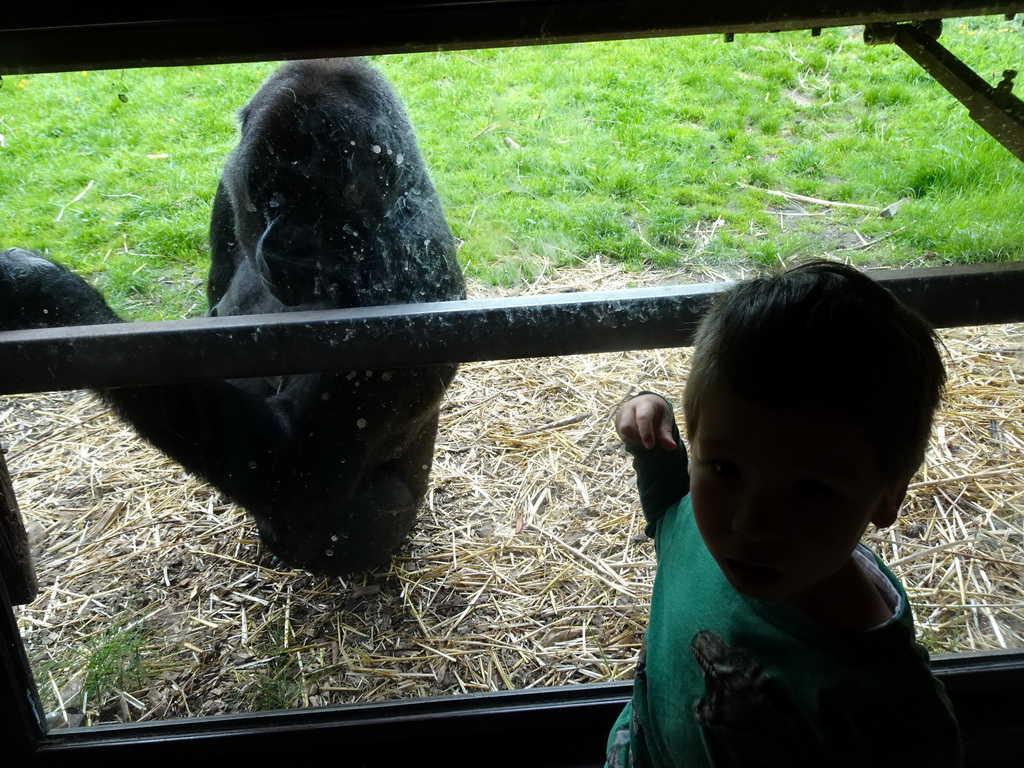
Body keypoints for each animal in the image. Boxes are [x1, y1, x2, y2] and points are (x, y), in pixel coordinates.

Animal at [0, 58, 464, 577]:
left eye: (315, 201)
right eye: (269, 197)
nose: (283, 246)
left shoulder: (406, 278)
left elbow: (294, 474)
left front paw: (43, 292)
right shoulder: (229, 190)